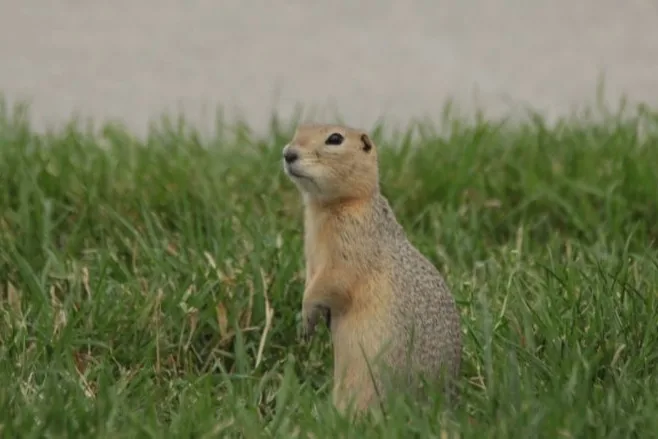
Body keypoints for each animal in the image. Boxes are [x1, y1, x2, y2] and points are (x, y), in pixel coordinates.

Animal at [282, 123, 462, 416]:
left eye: (335, 138)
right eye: (298, 129)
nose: (288, 153)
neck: (331, 206)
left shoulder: (350, 248)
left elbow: (333, 281)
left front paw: (307, 317)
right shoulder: (313, 258)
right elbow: (312, 279)